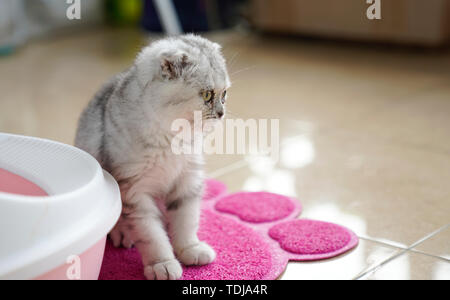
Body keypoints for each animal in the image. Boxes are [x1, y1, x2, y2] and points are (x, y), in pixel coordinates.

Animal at [75, 34, 230, 280]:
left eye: (224, 94)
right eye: (207, 94)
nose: (221, 113)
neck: (172, 139)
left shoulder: (188, 180)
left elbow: (186, 220)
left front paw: (190, 249)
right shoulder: (135, 192)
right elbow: (151, 236)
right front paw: (162, 264)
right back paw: (122, 233)